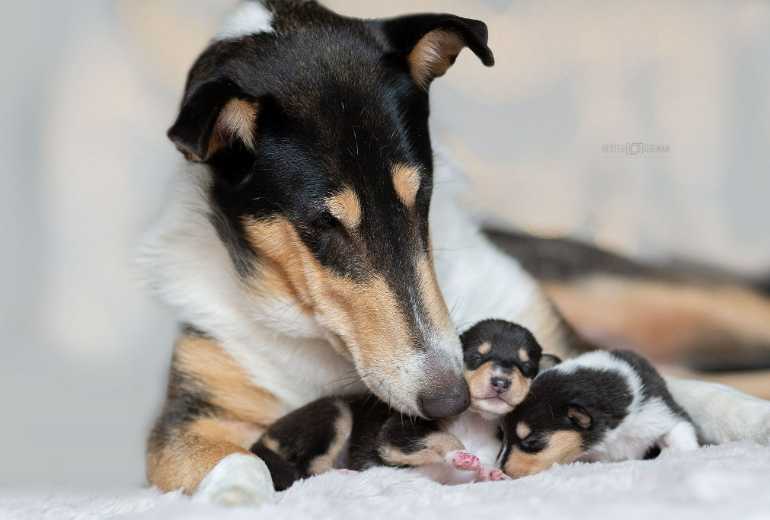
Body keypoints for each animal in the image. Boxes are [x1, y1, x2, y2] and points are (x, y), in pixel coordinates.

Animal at [249, 318, 556, 490]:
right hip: (336, 414)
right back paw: (345, 474)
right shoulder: (394, 437)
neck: (474, 422)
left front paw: (492, 474)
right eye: (475, 358)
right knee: (310, 467)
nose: (501, 380)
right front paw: (460, 454)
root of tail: (263, 437)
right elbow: (441, 438)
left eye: (526, 367)